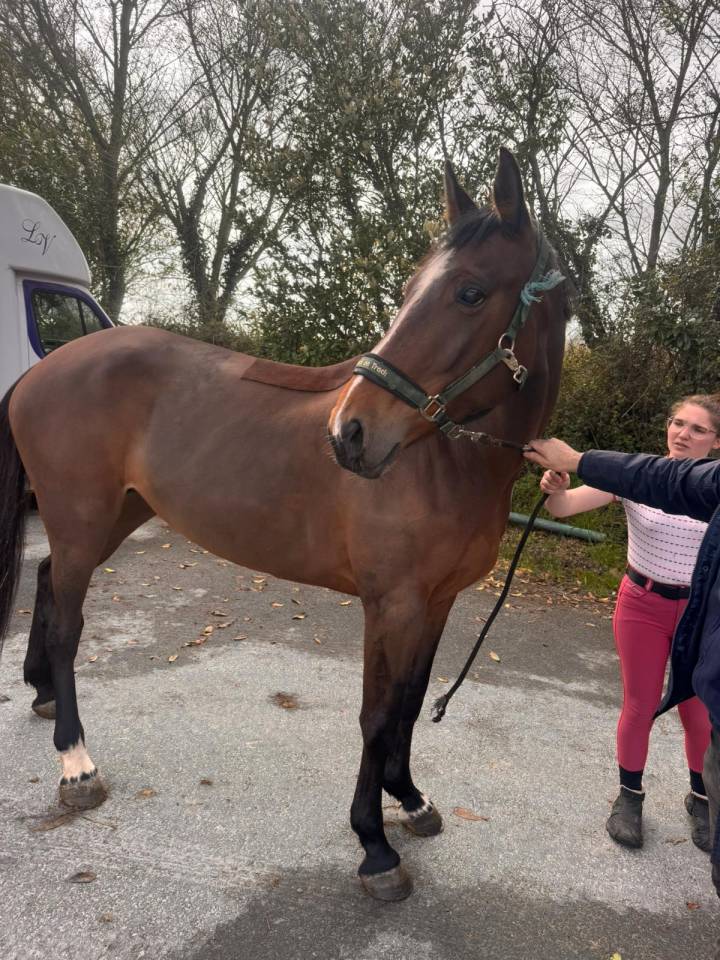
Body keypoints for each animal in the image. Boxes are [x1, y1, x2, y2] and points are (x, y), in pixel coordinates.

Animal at [0, 148, 567, 902]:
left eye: (470, 293)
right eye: (412, 287)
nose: (350, 434)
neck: (445, 458)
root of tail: (46, 367)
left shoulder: (437, 603)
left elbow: (411, 704)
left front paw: (410, 799)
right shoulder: (392, 604)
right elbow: (377, 714)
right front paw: (374, 844)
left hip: (109, 516)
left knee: (43, 582)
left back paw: (39, 695)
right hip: (80, 520)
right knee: (68, 626)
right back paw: (76, 762)